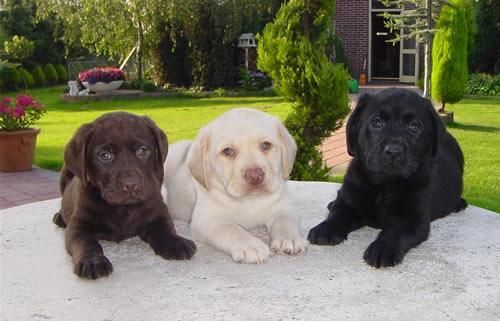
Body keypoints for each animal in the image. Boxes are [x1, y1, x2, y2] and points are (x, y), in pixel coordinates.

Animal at [163, 107, 308, 262]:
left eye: (266, 145)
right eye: (227, 151)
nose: (255, 176)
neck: (249, 201)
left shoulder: (284, 207)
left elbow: (285, 221)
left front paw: (289, 239)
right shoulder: (207, 219)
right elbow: (232, 229)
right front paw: (251, 246)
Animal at [306, 88, 466, 268]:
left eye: (414, 127)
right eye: (377, 123)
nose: (393, 152)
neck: (386, 184)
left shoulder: (412, 218)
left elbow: (395, 232)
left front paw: (383, 249)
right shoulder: (349, 198)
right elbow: (338, 213)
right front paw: (325, 229)